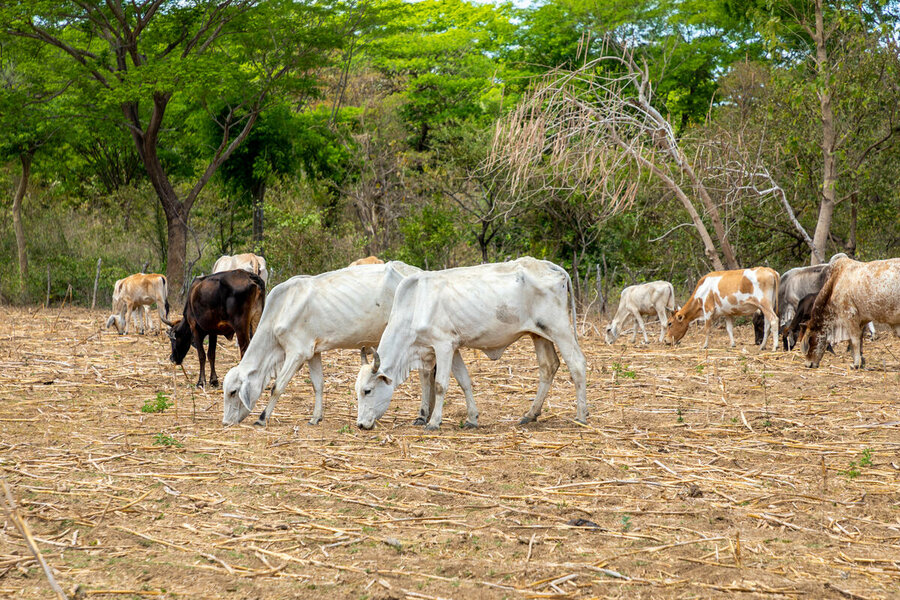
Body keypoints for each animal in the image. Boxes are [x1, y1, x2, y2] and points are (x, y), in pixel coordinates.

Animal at [221, 262, 472, 426]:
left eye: (233, 392)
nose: (225, 422)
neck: (281, 309)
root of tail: (417, 273)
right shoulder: (312, 352)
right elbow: (318, 385)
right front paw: (316, 417)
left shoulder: (296, 353)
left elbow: (277, 387)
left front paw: (262, 418)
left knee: (425, 375)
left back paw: (424, 415)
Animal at [356, 258, 588, 432]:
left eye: (367, 390)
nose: (360, 424)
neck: (415, 304)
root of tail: (549, 266)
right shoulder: (454, 346)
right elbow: (464, 381)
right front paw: (472, 419)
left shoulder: (443, 345)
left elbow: (440, 385)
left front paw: (434, 422)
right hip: (538, 333)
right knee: (548, 367)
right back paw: (530, 415)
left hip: (559, 329)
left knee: (577, 363)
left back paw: (581, 416)